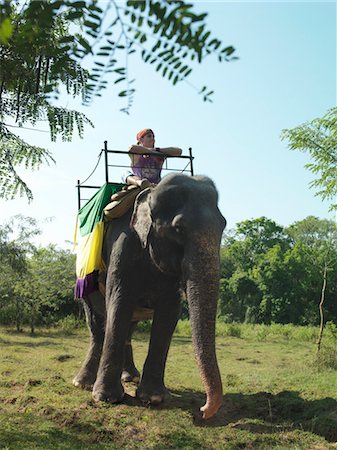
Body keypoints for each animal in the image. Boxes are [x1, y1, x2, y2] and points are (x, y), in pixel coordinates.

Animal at [73, 172, 226, 418]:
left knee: (128, 327)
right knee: (97, 325)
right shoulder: (123, 245)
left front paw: (154, 398)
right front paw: (106, 398)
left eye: (223, 226)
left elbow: (169, 313)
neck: (150, 194)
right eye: (179, 229)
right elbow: (119, 302)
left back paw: (130, 377)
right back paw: (83, 383)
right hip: (84, 278)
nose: (203, 409)